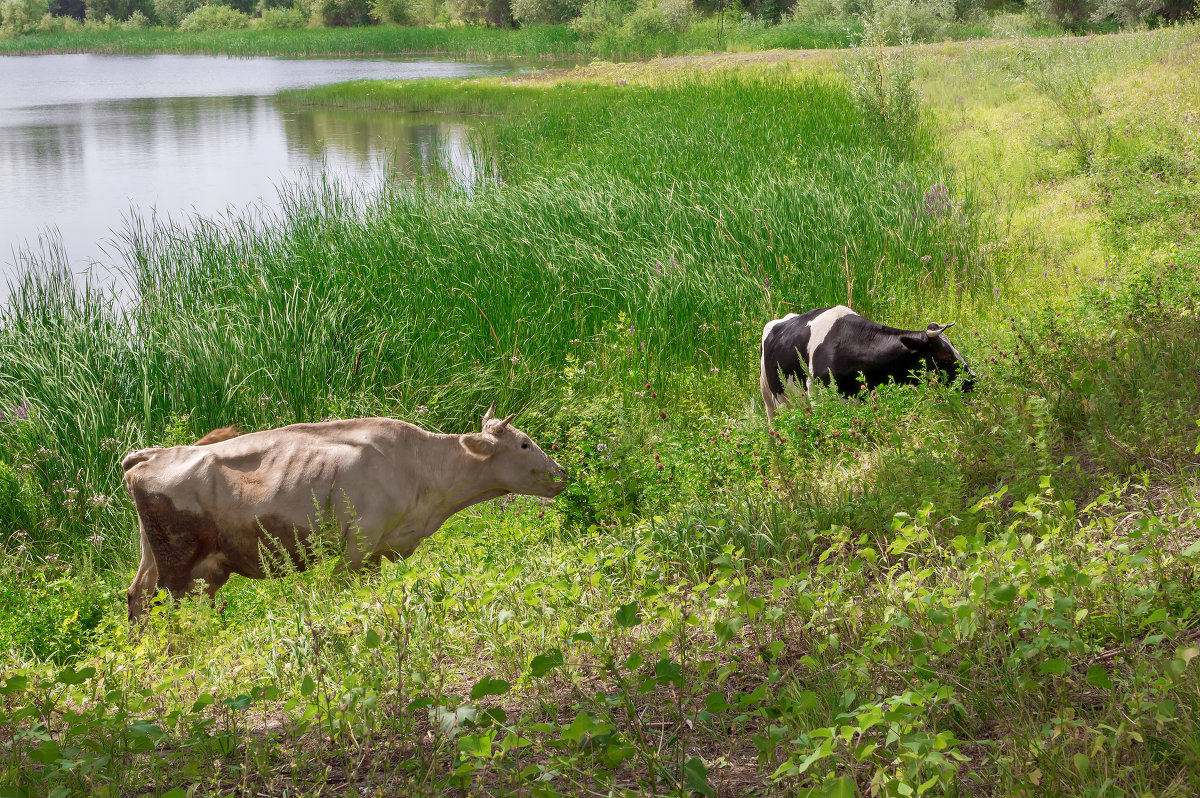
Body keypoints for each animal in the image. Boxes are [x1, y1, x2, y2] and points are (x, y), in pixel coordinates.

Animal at [121, 405, 566, 624]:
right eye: (524, 444)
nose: (562, 474)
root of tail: (152, 454)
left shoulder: (381, 550)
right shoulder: (358, 544)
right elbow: (335, 593)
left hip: (159, 558)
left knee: (137, 595)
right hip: (181, 568)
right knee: (168, 607)